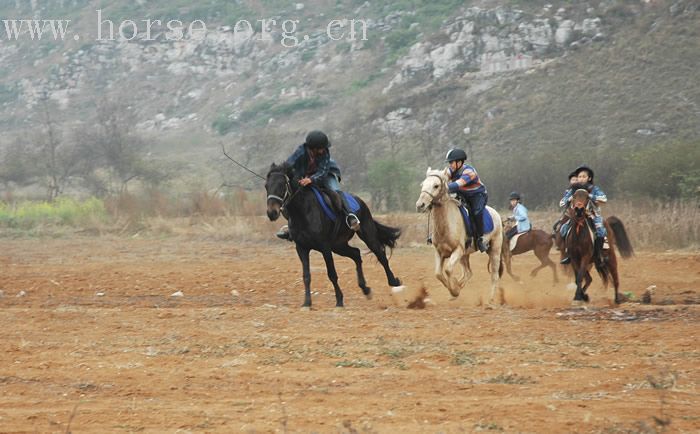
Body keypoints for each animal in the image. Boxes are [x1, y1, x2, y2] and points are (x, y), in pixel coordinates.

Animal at [266, 163, 402, 308]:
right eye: (266, 186)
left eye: (282, 185)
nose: (271, 213)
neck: (303, 212)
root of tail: (359, 200)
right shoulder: (301, 247)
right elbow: (306, 275)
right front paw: (307, 302)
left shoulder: (325, 247)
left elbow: (332, 273)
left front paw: (339, 300)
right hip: (338, 245)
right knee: (356, 254)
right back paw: (365, 289)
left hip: (366, 234)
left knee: (380, 254)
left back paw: (394, 282)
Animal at [416, 168, 504, 304]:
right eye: (422, 184)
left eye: (436, 185)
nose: (420, 205)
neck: (446, 226)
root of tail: (496, 214)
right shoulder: (439, 252)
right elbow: (438, 274)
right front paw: (454, 289)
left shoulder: (458, 250)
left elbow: (447, 269)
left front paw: (454, 290)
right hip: (465, 255)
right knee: (468, 273)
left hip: (494, 250)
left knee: (494, 275)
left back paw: (490, 299)